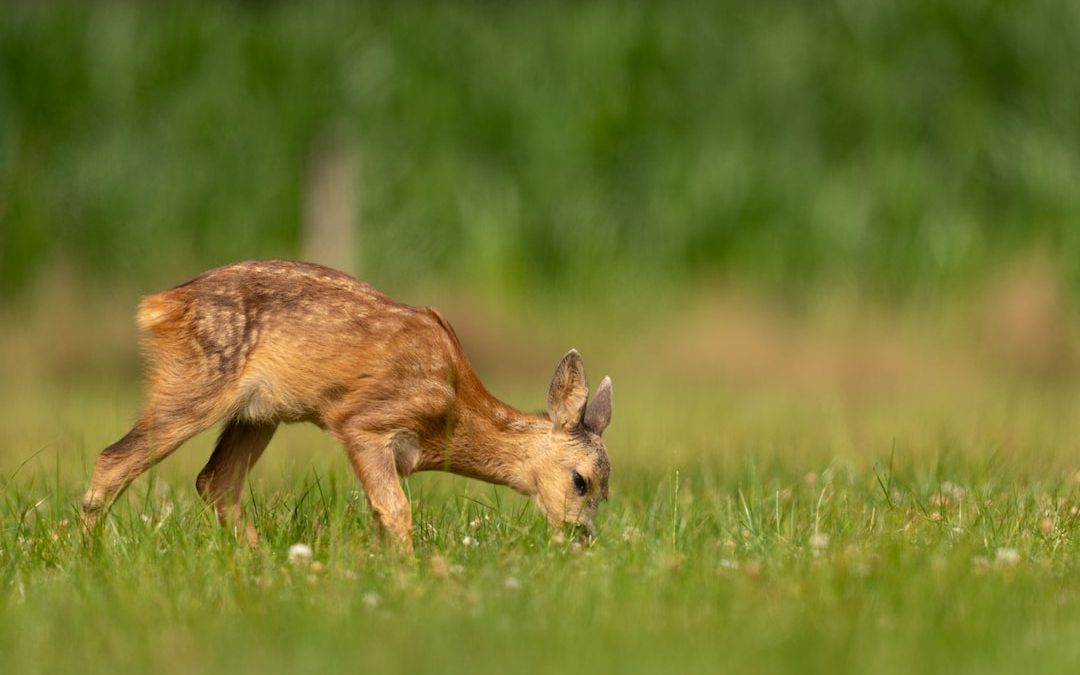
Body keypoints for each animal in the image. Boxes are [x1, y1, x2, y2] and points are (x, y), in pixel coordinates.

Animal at [79, 260, 613, 550]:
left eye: (607, 492)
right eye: (581, 480)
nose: (582, 537)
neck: (453, 410)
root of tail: (158, 306)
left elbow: (380, 515)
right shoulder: (364, 423)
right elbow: (395, 510)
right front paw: (411, 577)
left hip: (258, 413)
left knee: (216, 481)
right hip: (197, 383)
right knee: (113, 458)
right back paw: (87, 556)